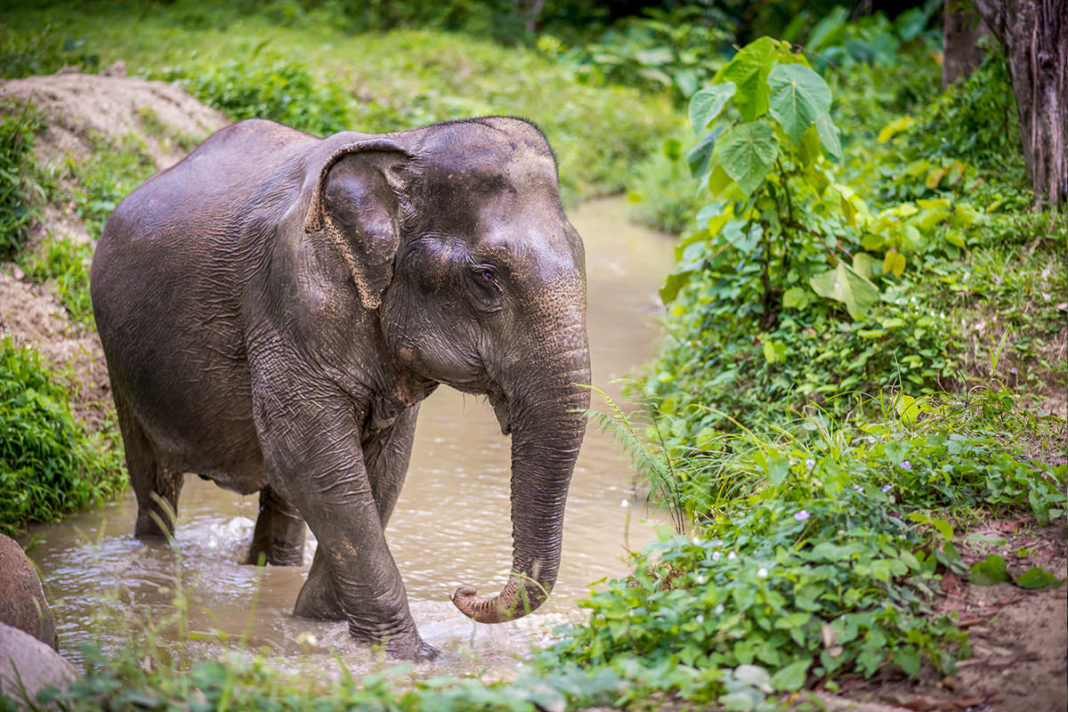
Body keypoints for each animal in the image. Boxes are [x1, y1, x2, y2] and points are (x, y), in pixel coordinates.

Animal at [89, 114, 593, 661]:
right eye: (487, 277)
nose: (463, 592)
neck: (407, 147)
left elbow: (382, 469)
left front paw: (318, 623)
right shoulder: (290, 297)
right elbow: (313, 460)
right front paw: (408, 657)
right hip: (121, 364)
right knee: (154, 484)